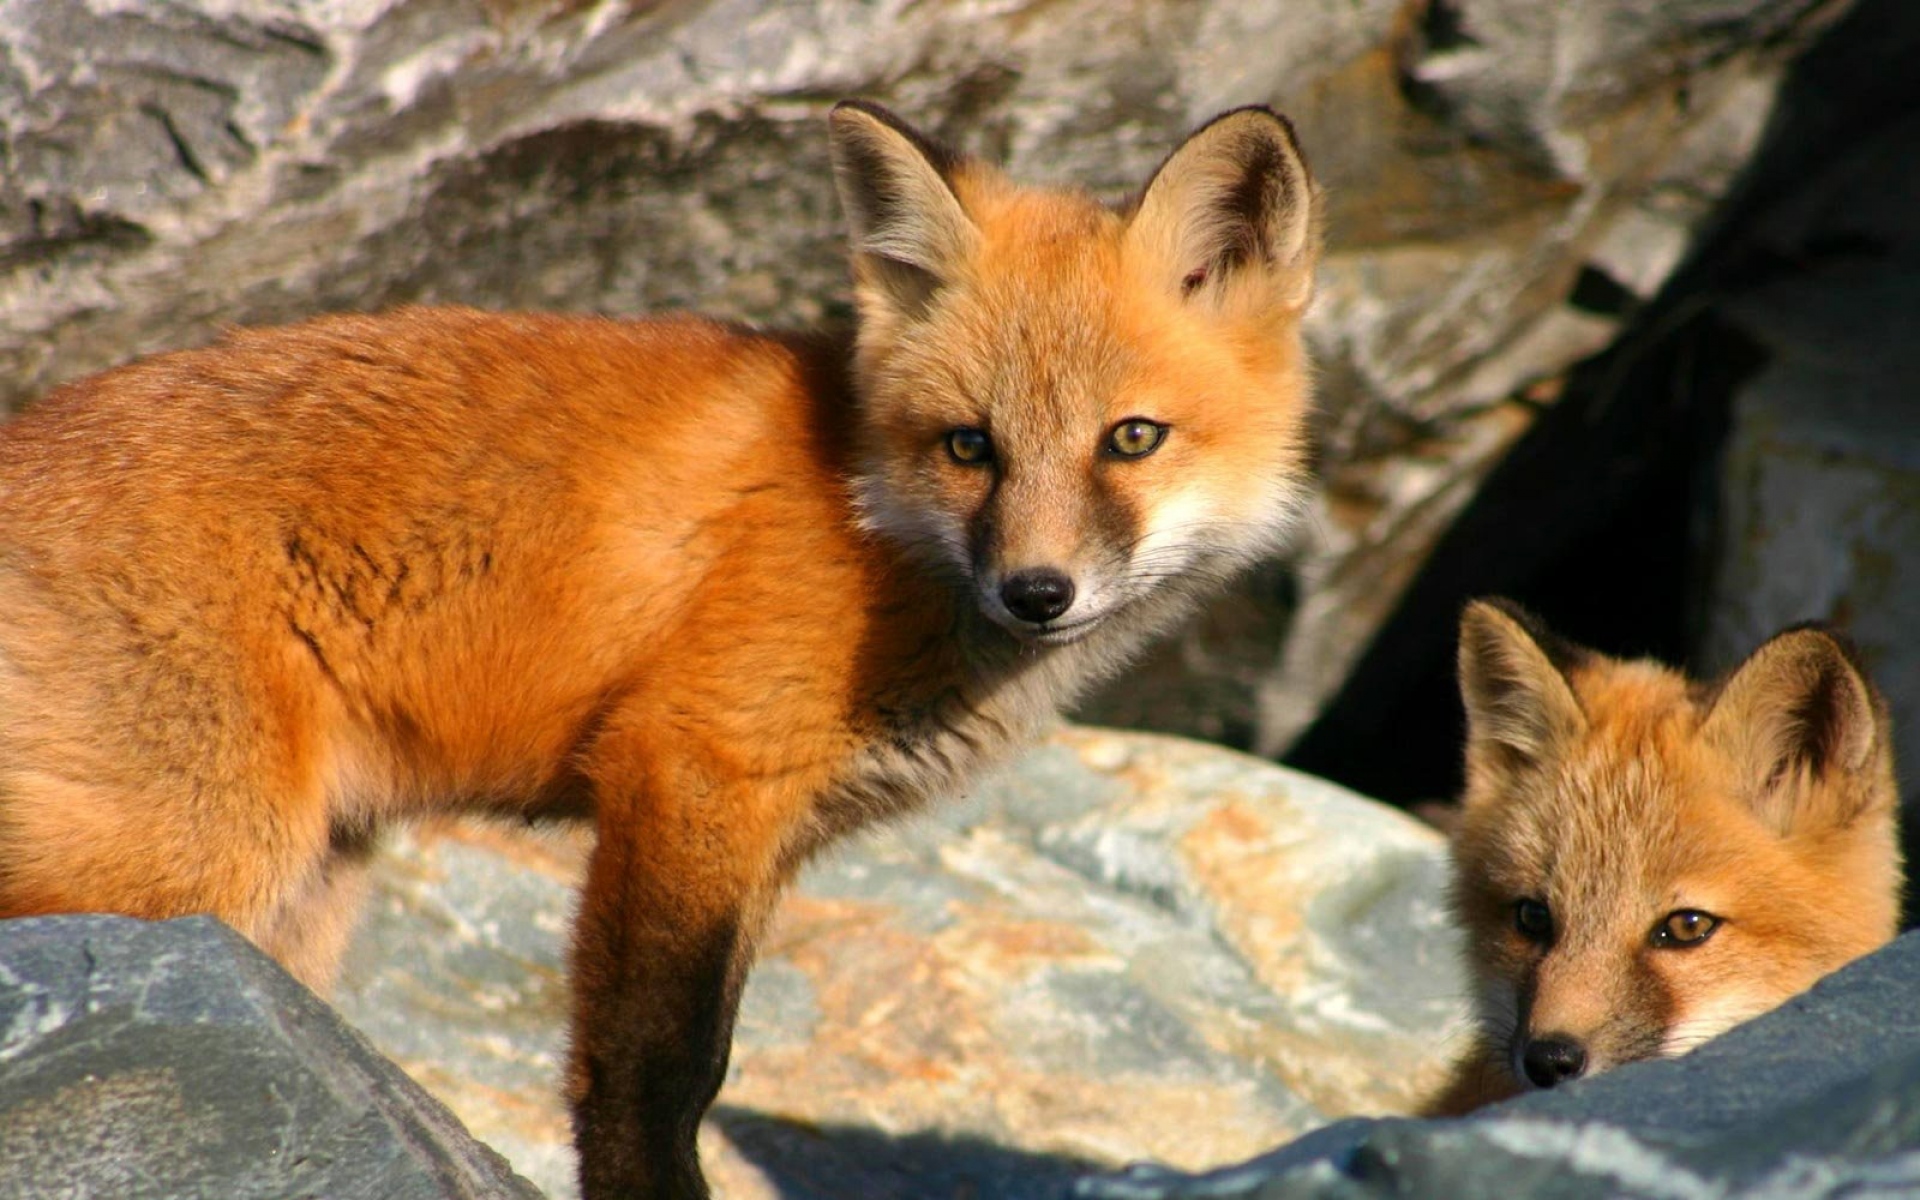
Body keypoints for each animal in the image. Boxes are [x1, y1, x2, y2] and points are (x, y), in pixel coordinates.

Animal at [0, 105, 1320, 1198]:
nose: (1036, 592)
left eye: (1131, 439)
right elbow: (657, 1070)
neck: (866, 518)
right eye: (969, 447)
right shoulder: (690, 769)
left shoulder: (767, 842)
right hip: (197, 861)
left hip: (303, 899)